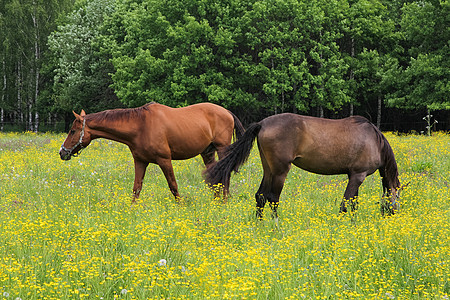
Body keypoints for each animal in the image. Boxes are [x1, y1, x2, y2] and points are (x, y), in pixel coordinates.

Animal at [59, 103, 244, 202]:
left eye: (73, 131)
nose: (62, 152)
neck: (140, 126)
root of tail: (227, 112)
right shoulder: (140, 161)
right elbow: (136, 188)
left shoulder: (164, 160)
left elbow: (173, 186)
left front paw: (181, 207)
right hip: (207, 153)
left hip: (222, 149)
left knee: (224, 175)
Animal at [206, 112, 402, 218]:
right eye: (398, 199)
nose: (393, 215)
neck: (375, 141)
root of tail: (262, 124)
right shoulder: (358, 175)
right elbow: (346, 204)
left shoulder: (353, 175)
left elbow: (354, 204)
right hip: (280, 172)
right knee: (273, 198)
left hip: (268, 170)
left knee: (260, 196)